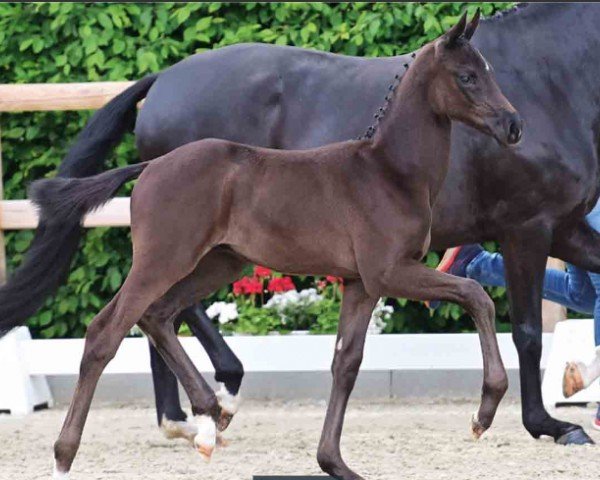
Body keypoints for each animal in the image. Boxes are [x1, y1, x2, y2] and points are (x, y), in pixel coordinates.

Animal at [0, 2, 596, 446]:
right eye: (469, 76)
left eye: (490, 74)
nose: (514, 126)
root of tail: (163, 79)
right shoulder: (525, 228)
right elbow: (524, 329)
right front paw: (547, 425)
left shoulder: (564, 228)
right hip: (192, 249)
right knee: (154, 310)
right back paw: (209, 400)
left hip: (216, 253)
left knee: (155, 313)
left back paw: (188, 416)